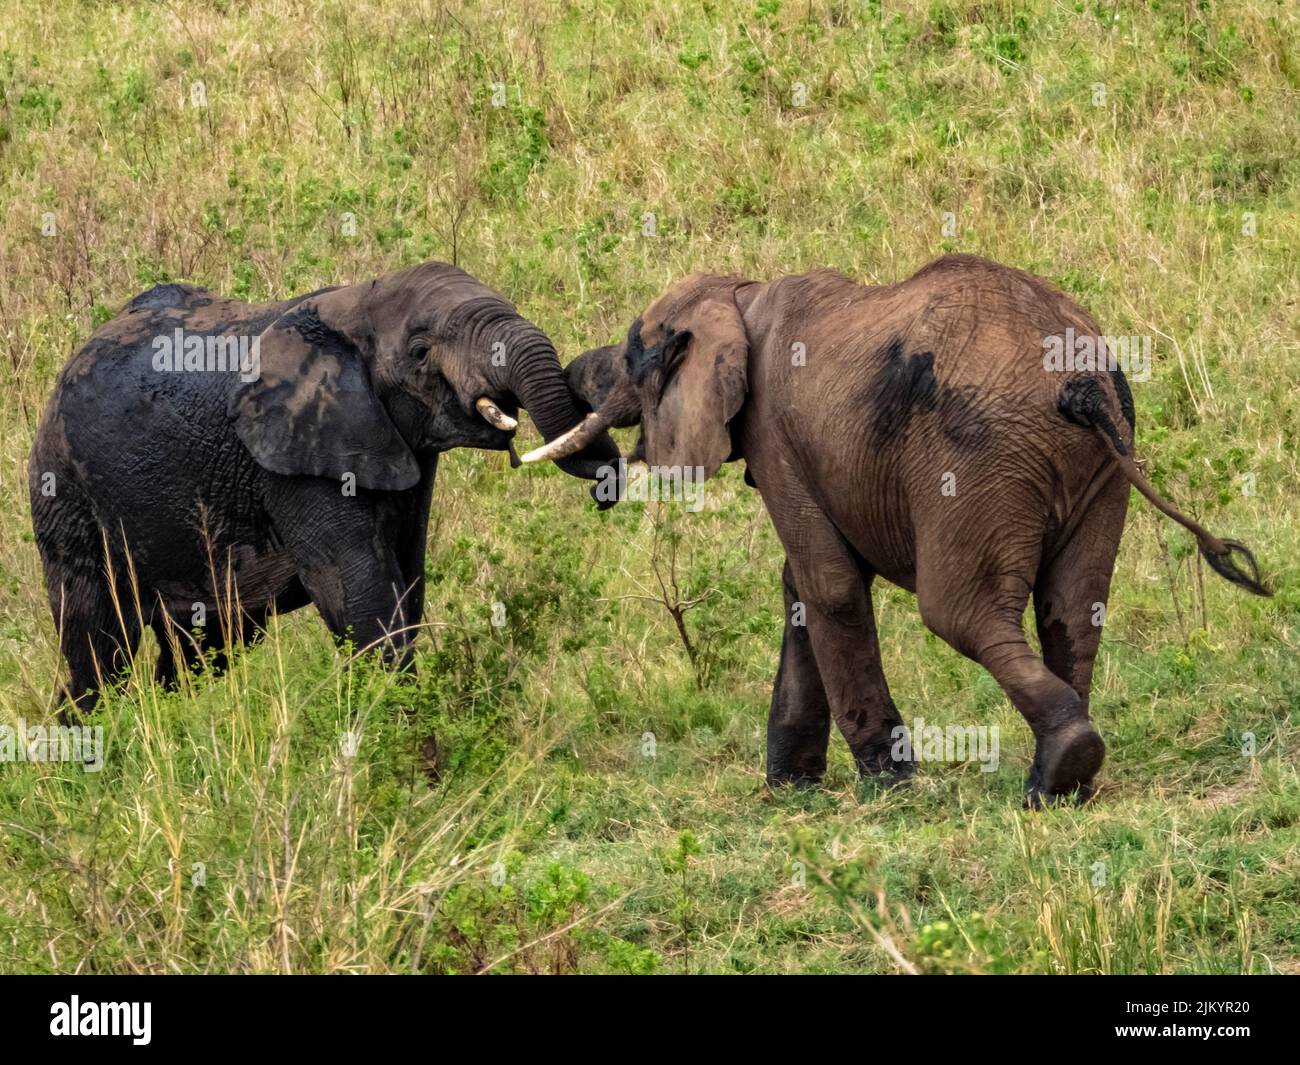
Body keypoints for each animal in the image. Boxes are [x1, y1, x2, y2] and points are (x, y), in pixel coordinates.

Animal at [29, 262, 618, 723]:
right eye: (420, 352)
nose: (605, 492)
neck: (357, 304)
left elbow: (406, 583)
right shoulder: (292, 461)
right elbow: (358, 593)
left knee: (203, 647)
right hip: (64, 492)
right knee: (99, 645)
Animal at [530, 256, 1268, 806]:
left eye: (634, 353)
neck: (739, 291)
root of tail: (1079, 382)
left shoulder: (773, 434)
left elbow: (828, 586)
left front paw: (886, 784)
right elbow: (802, 585)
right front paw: (791, 788)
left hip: (975, 456)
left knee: (960, 611)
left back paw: (1056, 770)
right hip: (1102, 461)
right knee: (1074, 607)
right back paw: (1069, 781)